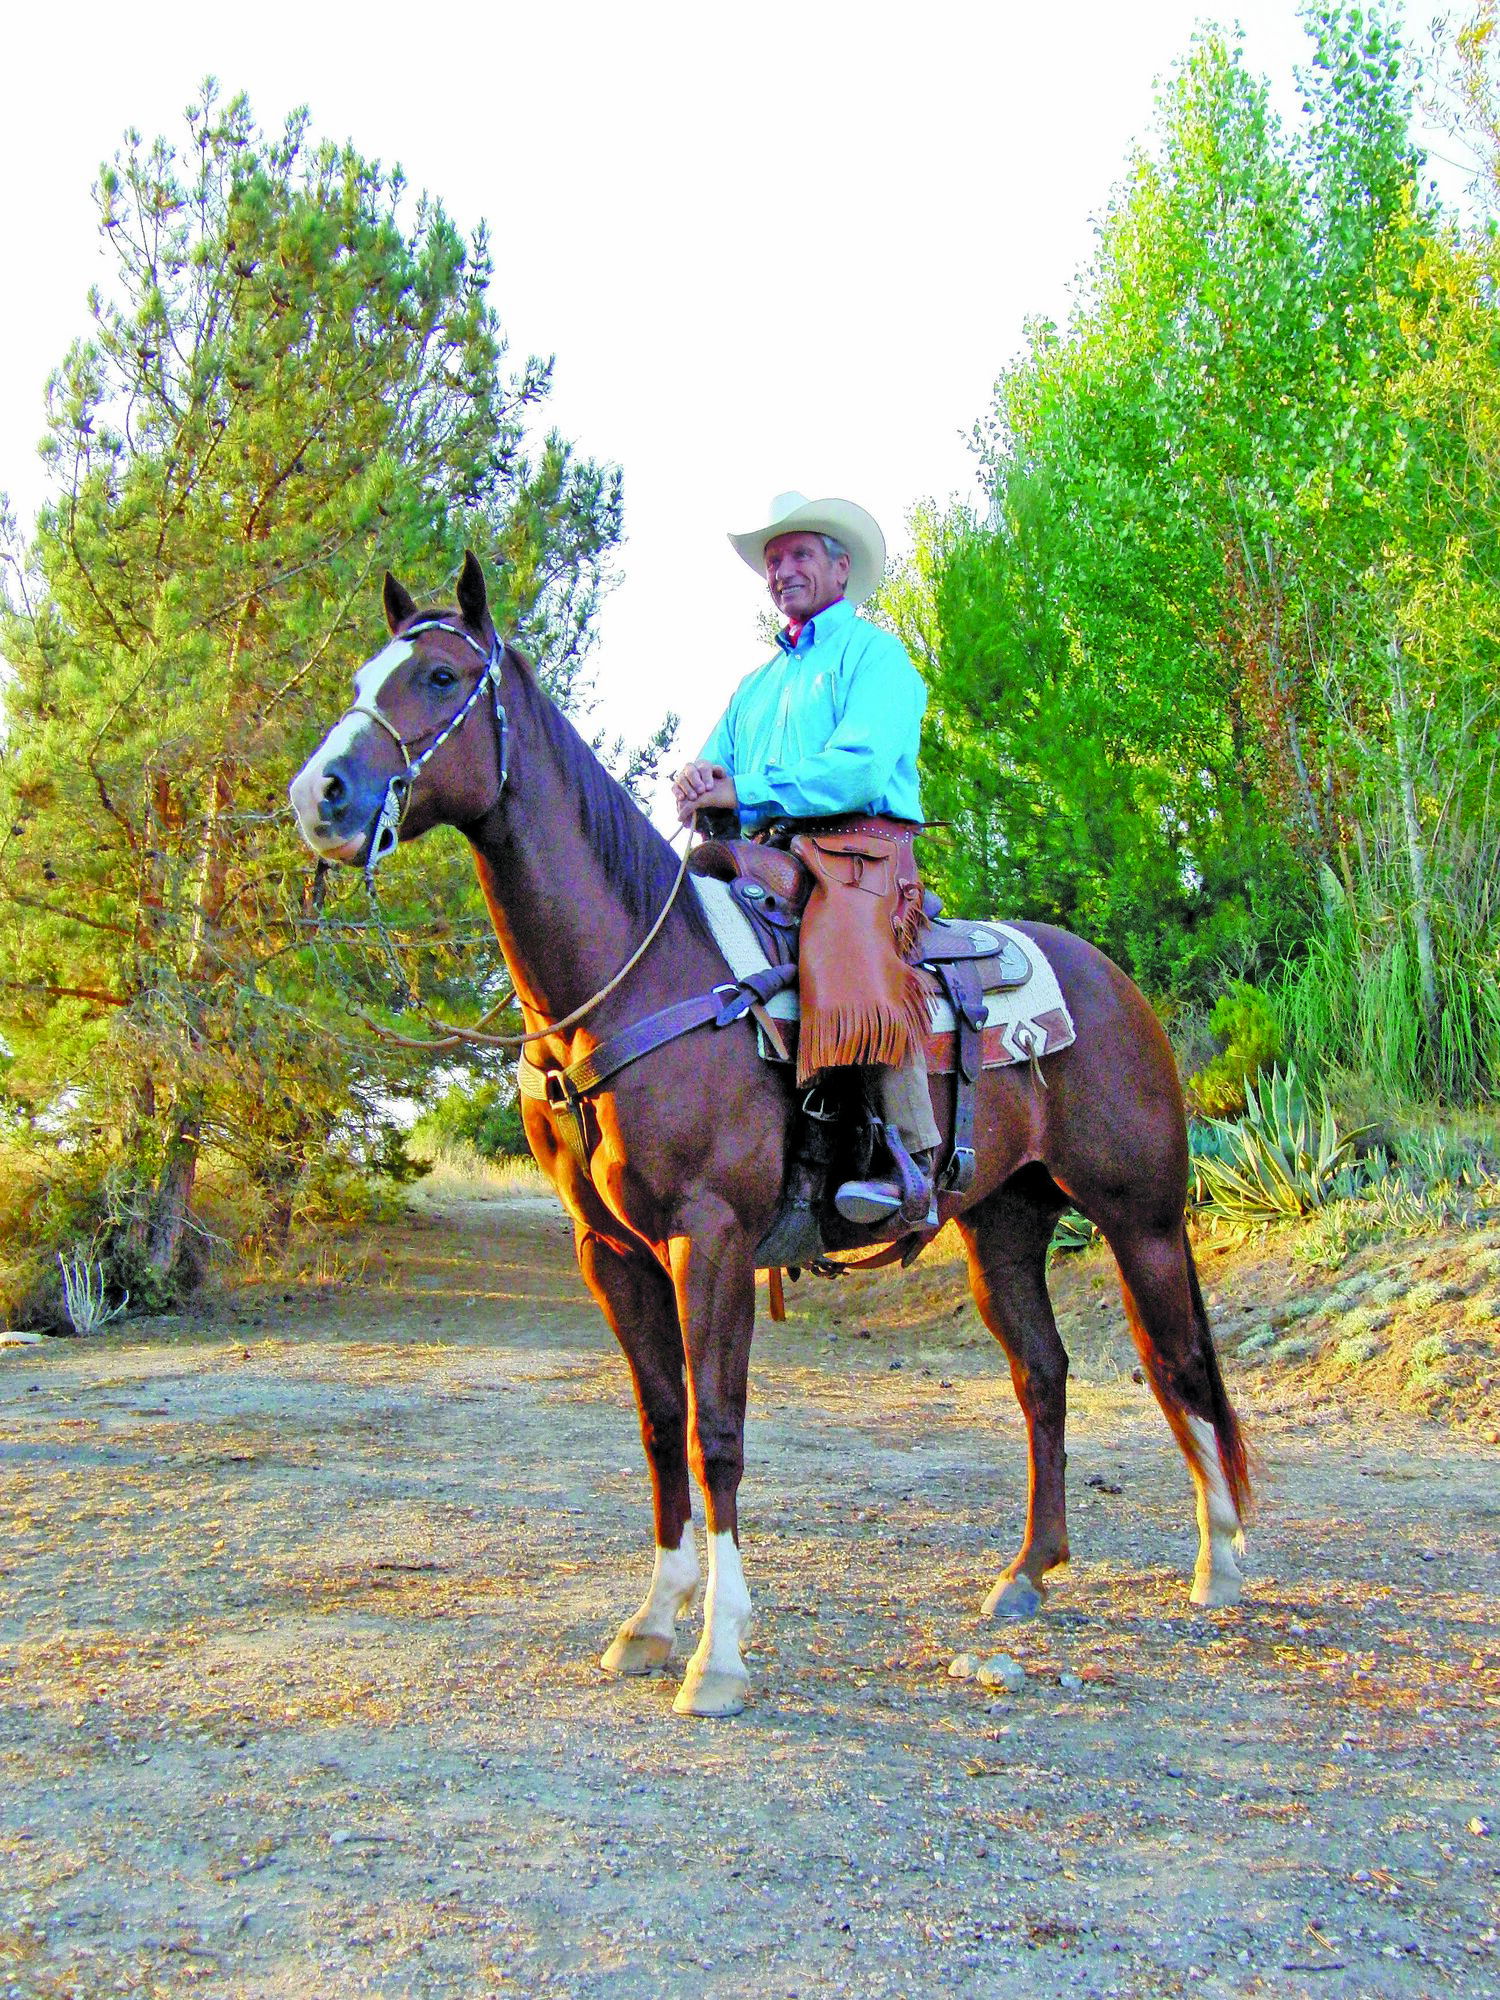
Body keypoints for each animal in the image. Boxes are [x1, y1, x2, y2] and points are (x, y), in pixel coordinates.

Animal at [289, 554, 1249, 1719]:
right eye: (362, 674)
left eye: (437, 674)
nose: (320, 795)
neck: (636, 977)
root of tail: (1116, 985)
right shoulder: (611, 1253)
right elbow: (661, 1427)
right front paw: (652, 1622)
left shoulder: (712, 1240)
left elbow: (718, 1432)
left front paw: (719, 1655)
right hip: (1004, 1228)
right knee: (1045, 1376)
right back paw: (1027, 1575)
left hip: (1141, 1218)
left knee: (1177, 1360)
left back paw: (1222, 1562)